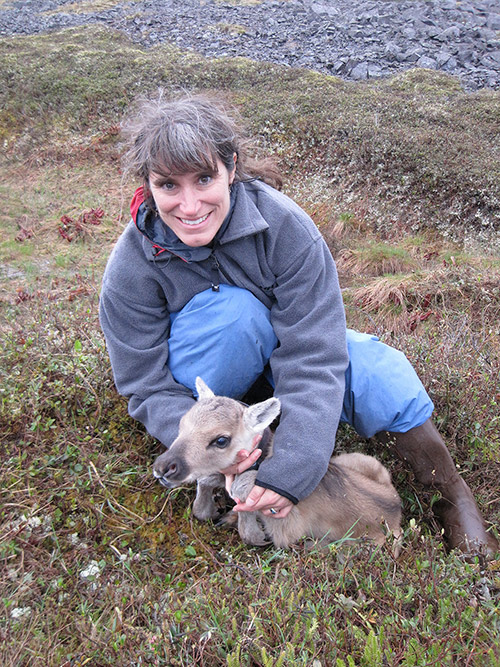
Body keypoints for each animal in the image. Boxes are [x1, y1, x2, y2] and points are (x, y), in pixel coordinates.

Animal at [153, 378, 402, 556]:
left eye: (221, 440)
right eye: (182, 423)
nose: (164, 467)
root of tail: (397, 513)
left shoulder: (288, 529)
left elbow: (243, 499)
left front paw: (254, 532)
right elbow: (205, 489)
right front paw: (214, 511)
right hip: (360, 460)